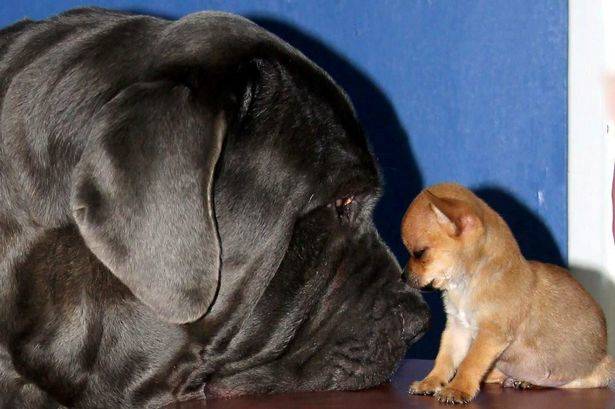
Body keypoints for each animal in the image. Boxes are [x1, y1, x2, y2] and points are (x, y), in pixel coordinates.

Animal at [402, 183, 612, 404]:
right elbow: (445, 359)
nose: (402, 276)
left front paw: (457, 389)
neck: (466, 285)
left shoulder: (490, 335)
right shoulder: (457, 329)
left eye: (420, 253)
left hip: (596, 372)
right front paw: (431, 382)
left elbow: (470, 363)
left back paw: (529, 382)